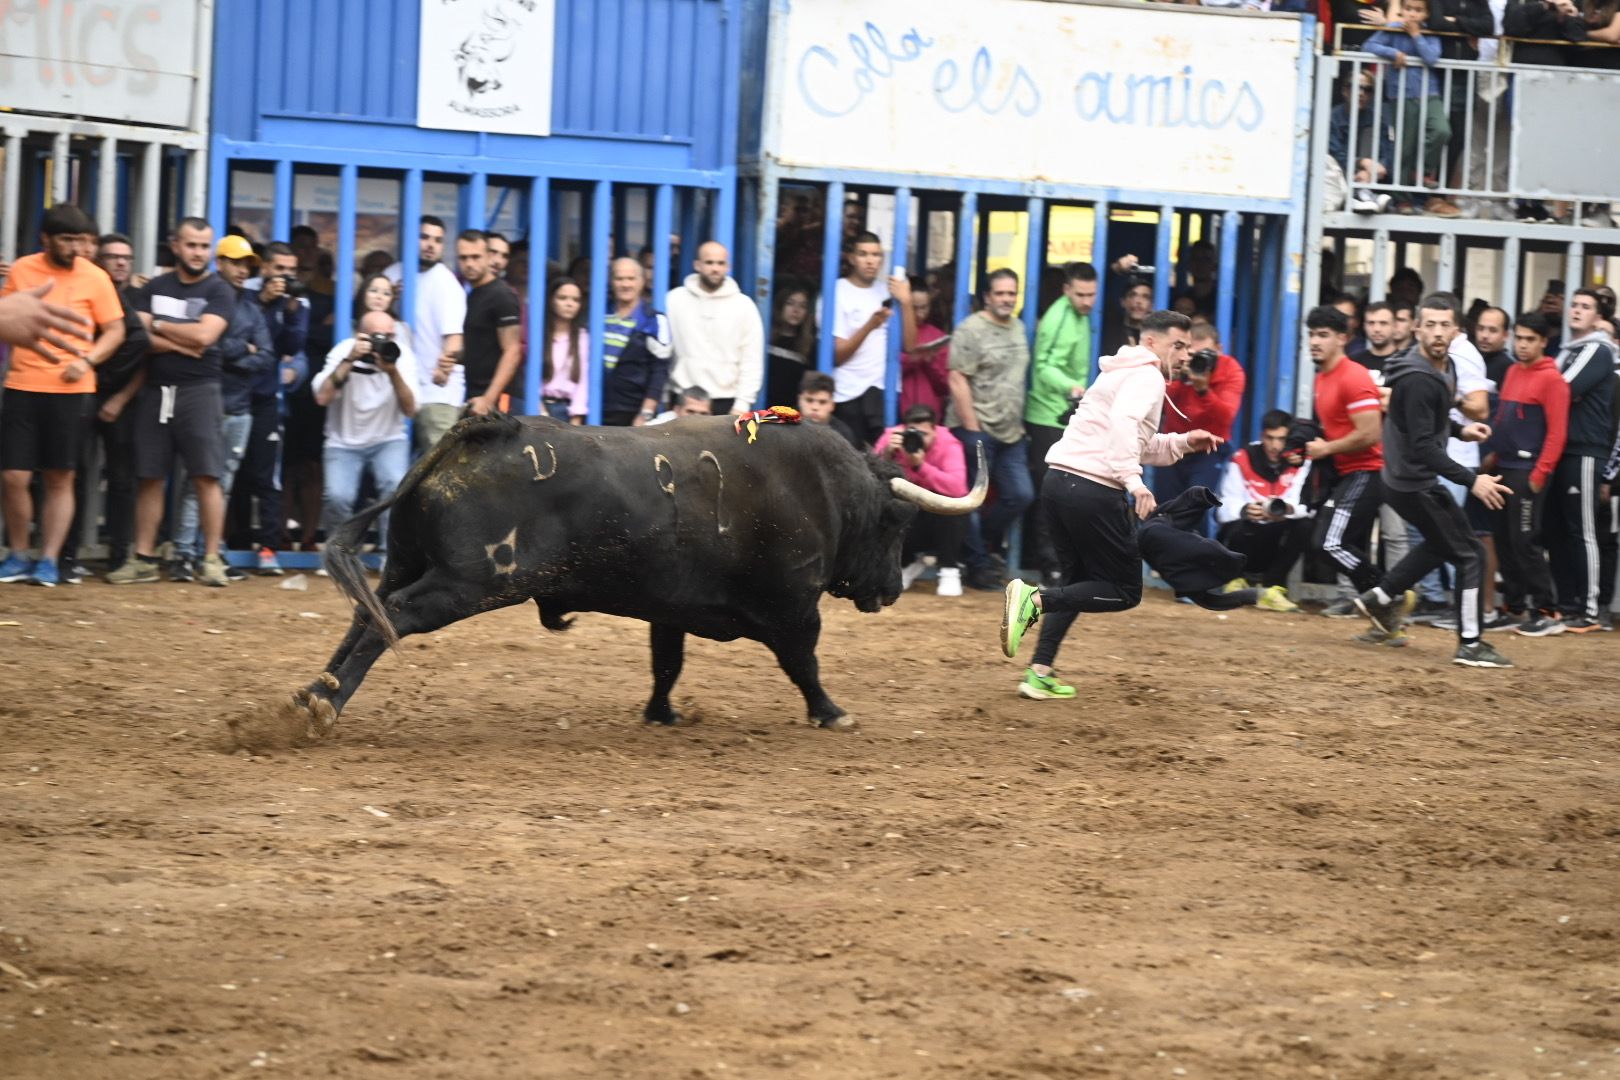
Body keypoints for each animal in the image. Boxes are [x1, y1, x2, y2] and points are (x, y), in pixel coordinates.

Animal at [285, 417, 978, 744]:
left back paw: (309, 694)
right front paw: (831, 713)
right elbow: (804, 664)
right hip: (466, 583)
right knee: (394, 617)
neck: (824, 488)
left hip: (411, 562)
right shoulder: (793, 609)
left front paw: (660, 714)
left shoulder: (671, 609)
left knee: (367, 614)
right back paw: (326, 704)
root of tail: (480, 432)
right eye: (896, 525)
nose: (889, 590)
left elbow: (666, 663)